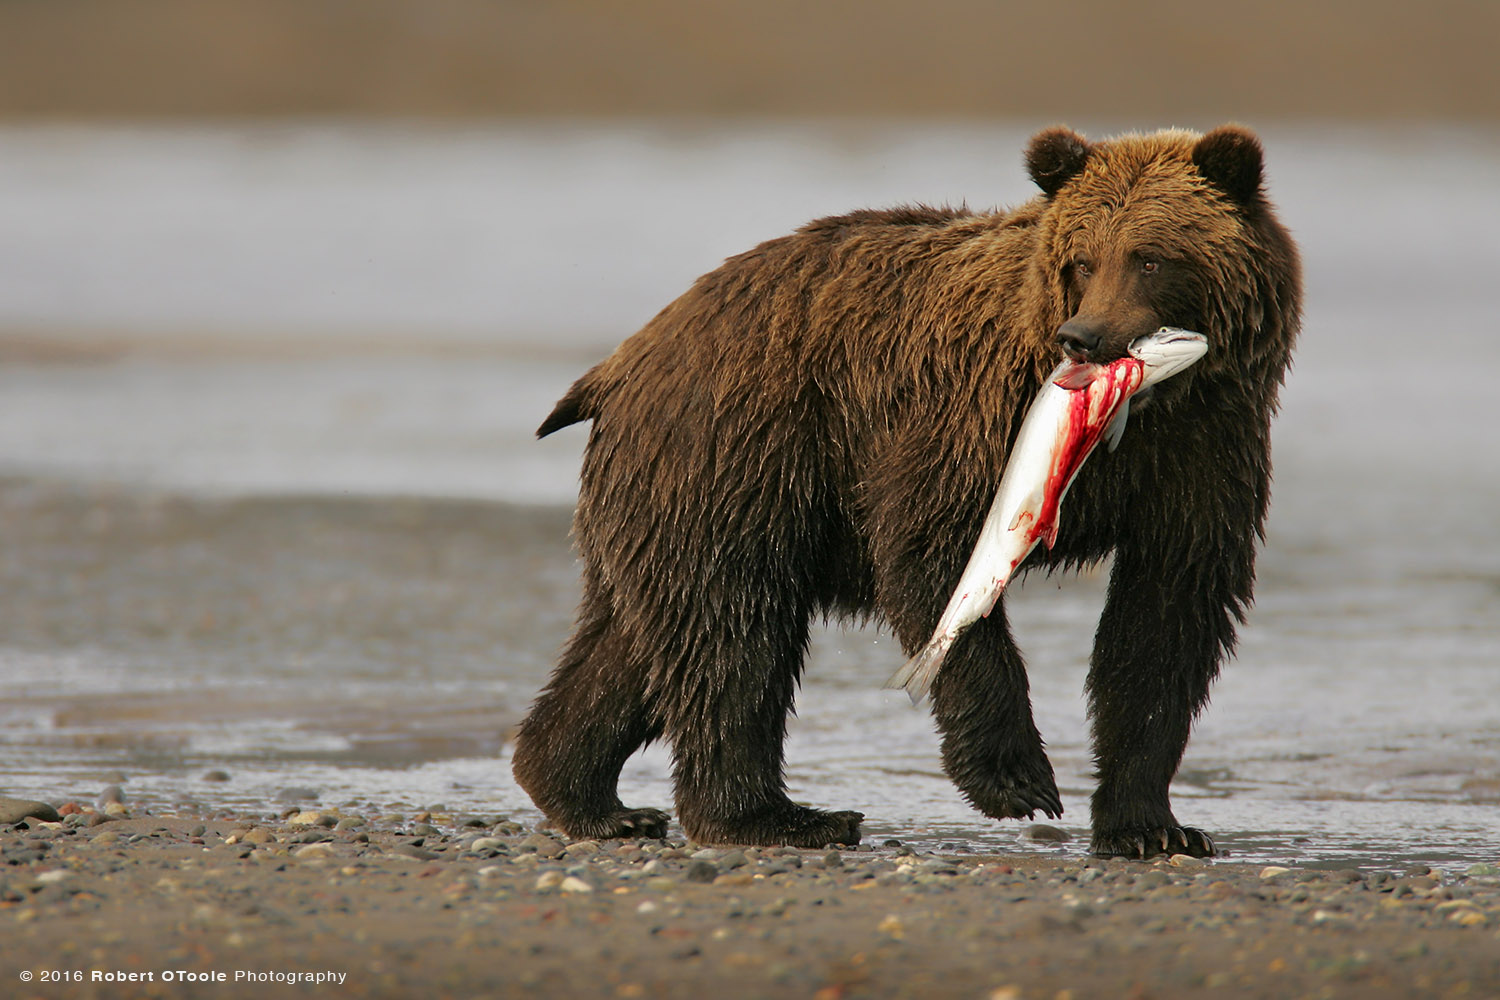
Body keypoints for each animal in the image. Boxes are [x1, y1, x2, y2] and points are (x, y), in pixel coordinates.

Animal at [510, 125, 1296, 863]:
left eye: (1151, 257)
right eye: (1082, 259)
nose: (1086, 337)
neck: (1151, 411)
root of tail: (627, 357)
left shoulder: (1204, 458)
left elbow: (1164, 623)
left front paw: (1153, 826)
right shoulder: (972, 414)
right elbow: (934, 550)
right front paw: (1016, 780)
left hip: (682, 486)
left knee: (641, 640)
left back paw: (586, 794)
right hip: (739, 451)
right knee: (732, 631)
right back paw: (781, 817)